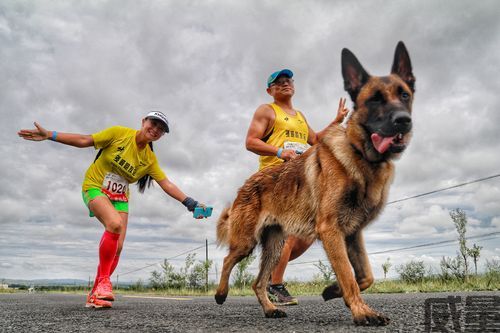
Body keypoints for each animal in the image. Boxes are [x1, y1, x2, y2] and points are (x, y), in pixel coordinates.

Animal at [215, 40, 414, 324]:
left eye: (405, 95)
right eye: (374, 99)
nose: (403, 121)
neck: (359, 154)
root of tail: (244, 185)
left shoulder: (352, 233)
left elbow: (364, 276)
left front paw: (333, 290)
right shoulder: (331, 230)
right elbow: (349, 275)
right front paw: (362, 312)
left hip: (275, 246)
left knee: (258, 282)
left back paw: (270, 308)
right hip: (246, 241)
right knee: (227, 260)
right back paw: (221, 294)